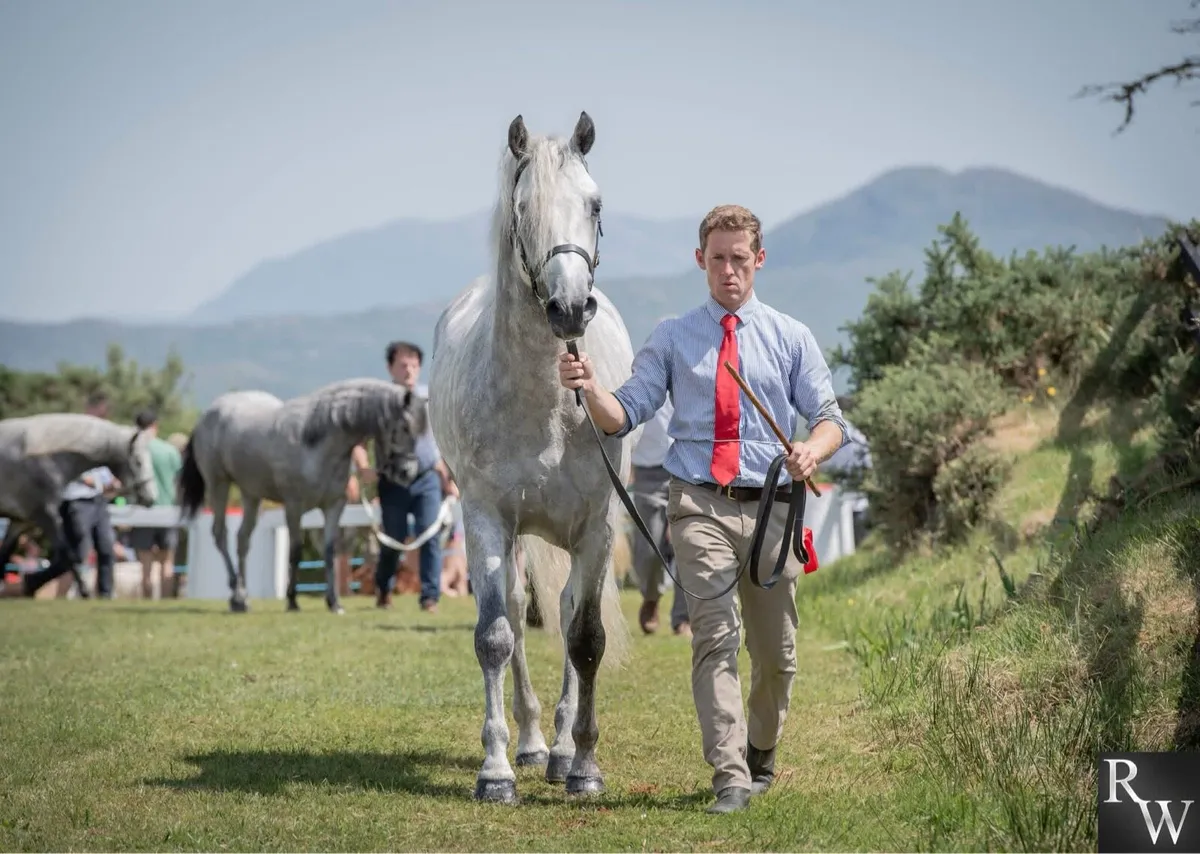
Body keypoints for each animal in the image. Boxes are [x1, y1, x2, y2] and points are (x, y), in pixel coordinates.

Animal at [0, 413, 158, 592]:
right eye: (138, 461)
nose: (151, 497)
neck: (44, 457)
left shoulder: (19, 522)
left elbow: (4, 556)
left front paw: (30, 584)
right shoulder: (46, 517)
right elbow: (68, 557)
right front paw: (85, 592)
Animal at [176, 377, 427, 614]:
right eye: (404, 426)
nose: (408, 473)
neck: (316, 444)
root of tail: (208, 415)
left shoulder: (334, 506)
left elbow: (329, 551)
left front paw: (334, 602)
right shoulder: (293, 507)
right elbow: (295, 551)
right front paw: (292, 601)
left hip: (251, 495)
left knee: (242, 540)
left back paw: (243, 598)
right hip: (218, 484)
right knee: (220, 534)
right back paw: (236, 594)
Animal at [429, 111, 639, 803]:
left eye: (594, 204)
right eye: (524, 210)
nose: (569, 308)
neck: (549, 405)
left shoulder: (597, 526)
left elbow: (587, 637)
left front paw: (586, 767)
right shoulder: (486, 519)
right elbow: (495, 636)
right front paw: (495, 771)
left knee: (571, 611)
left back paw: (564, 748)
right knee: (520, 618)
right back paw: (531, 743)